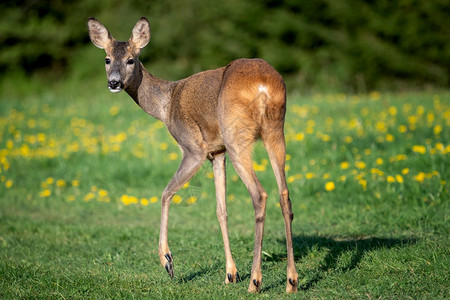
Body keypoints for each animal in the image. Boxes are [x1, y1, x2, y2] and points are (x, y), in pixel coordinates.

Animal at [88, 17, 298, 292]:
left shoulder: (194, 148)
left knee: (260, 194)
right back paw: (291, 281)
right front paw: (230, 273)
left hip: (237, 135)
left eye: (131, 59)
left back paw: (255, 281)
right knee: (284, 194)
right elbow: (221, 209)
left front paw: (167, 261)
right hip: (275, 130)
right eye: (107, 58)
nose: (113, 82)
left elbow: (166, 193)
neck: (166, 105)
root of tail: (263, 86)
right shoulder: (217, 152)